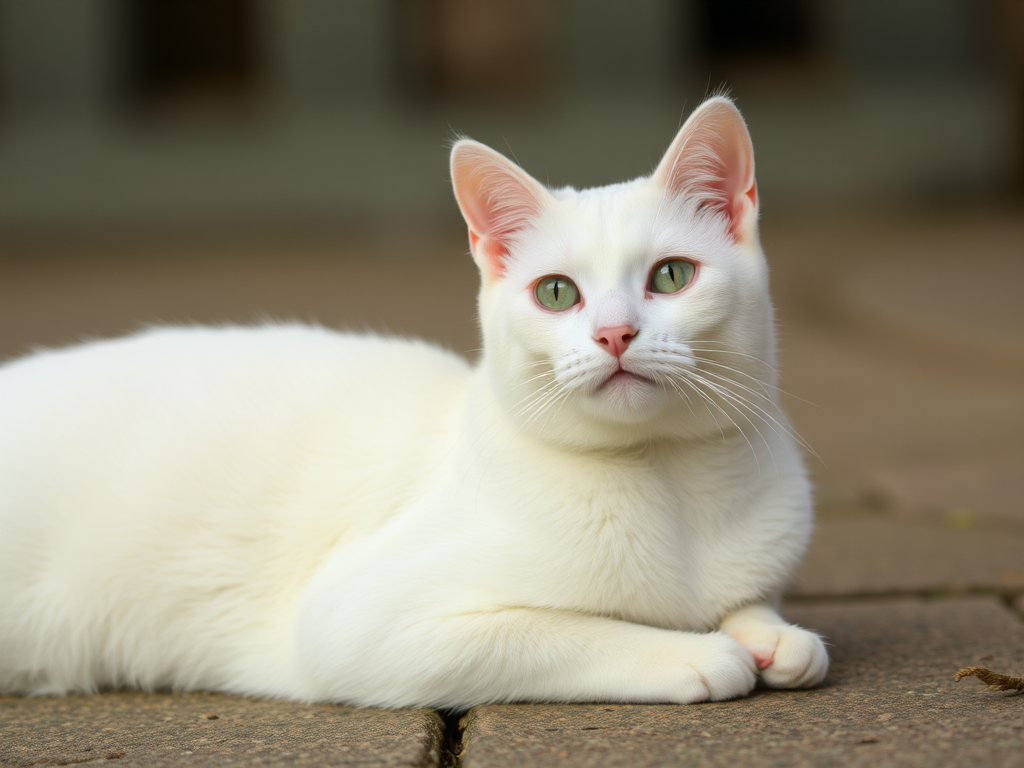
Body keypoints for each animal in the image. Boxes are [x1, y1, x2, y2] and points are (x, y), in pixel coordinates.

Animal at [0, 99, 827, 712]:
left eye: (672, 276)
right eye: (557, 292)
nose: (615, 332)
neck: (670, 487)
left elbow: (760, 604)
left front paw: (772, 632)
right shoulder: (361, 623)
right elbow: (570, 631)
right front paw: (701, 651)